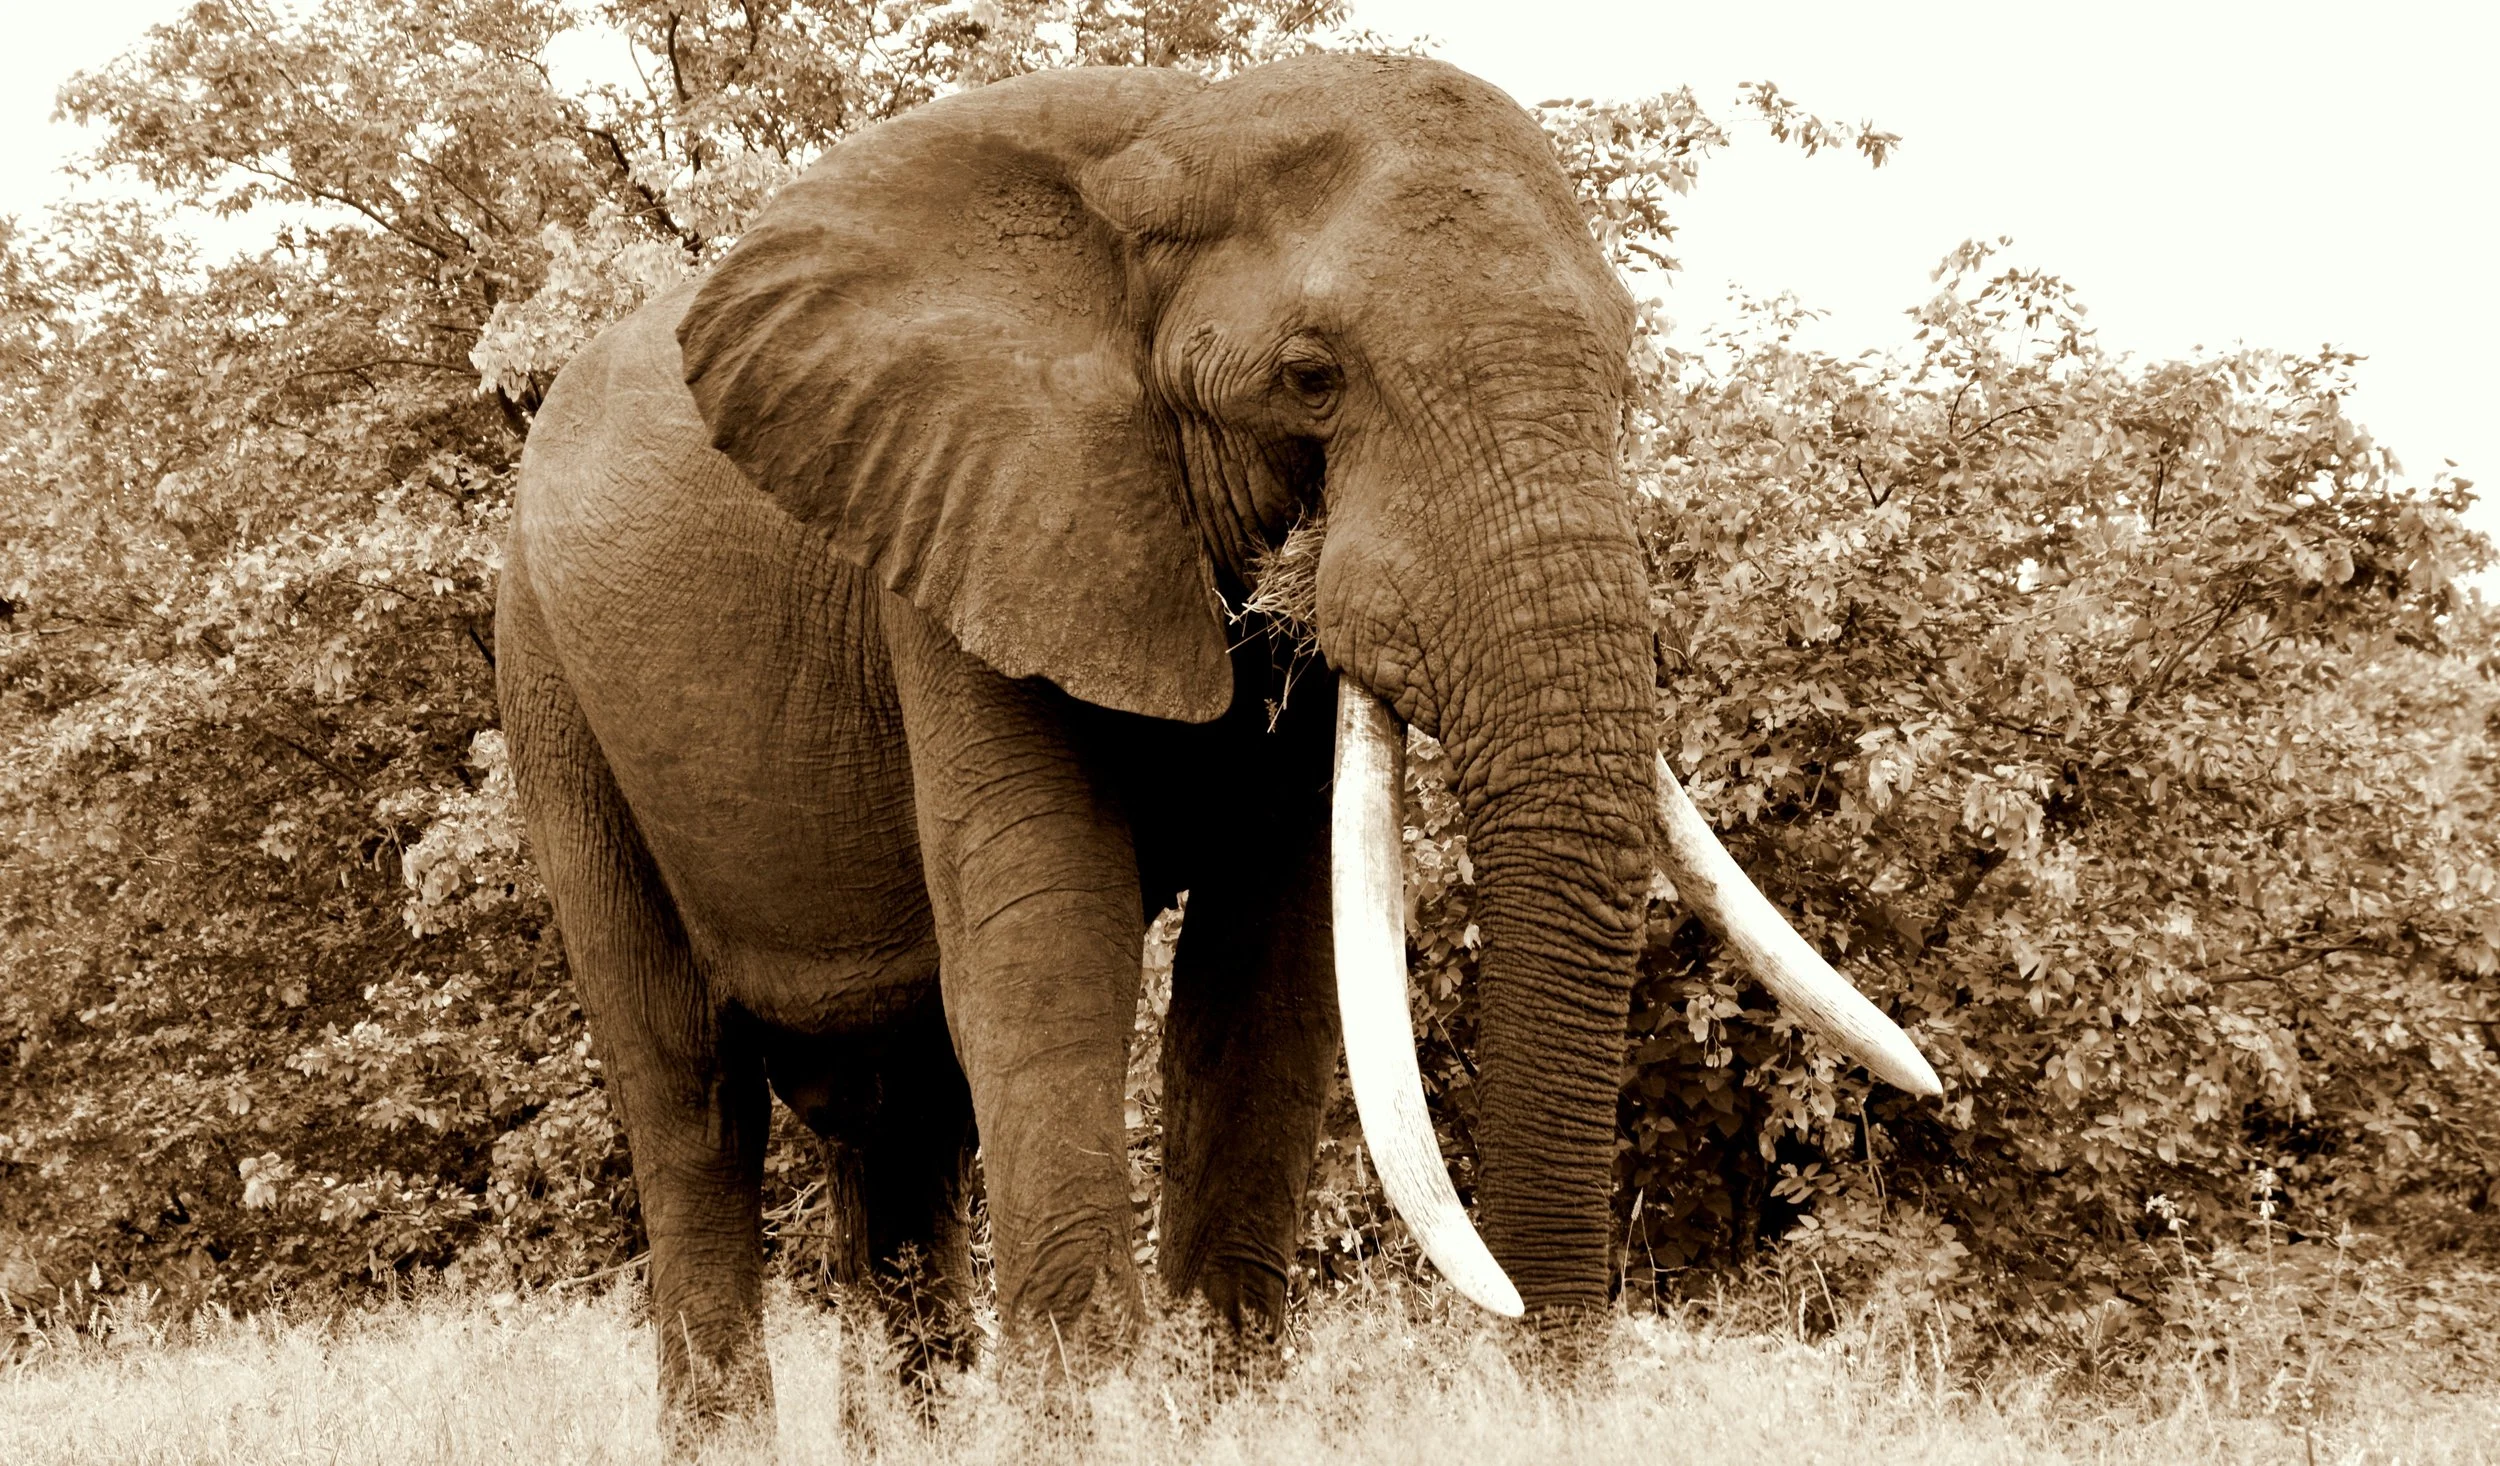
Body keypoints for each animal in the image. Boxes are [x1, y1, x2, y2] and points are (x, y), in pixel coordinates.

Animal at [495, 52, 1938, 1447]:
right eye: (1310, 378)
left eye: (1624, 373)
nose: (1557, 1390)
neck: (1178, 133)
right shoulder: (968, 523)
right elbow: (1053, 949)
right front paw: (1090, 1421)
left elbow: (1270, 969)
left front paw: (1224, 1404)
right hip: (549, 677)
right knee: (687, 1087)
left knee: (902, 1114)